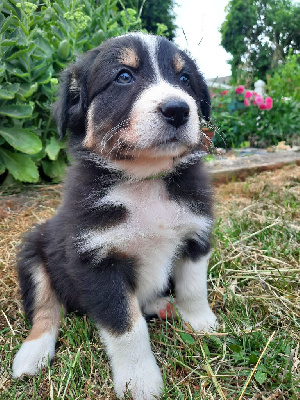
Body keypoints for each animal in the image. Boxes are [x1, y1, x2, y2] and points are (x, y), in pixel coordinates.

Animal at [12, 33, 217, 400]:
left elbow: (194, 286)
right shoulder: (96, 261)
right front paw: (139, 382)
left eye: (184, 79)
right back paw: (32, 355)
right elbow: (126, 327)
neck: (144, 180)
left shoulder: (196, 233)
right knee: (46, 310)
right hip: (33, 249)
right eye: (123, 76)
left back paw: (161, 305)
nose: (178, 109)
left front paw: (201, 323)